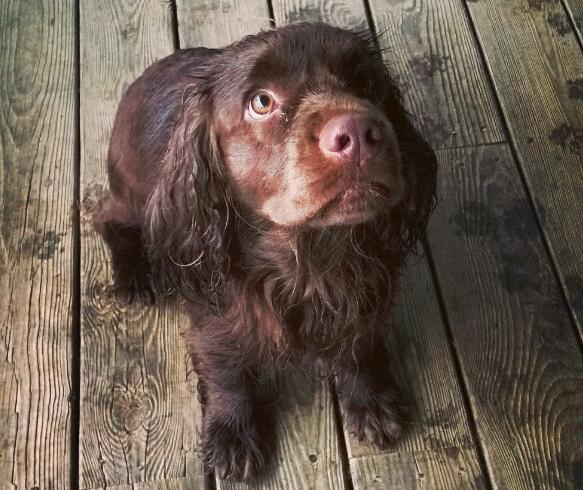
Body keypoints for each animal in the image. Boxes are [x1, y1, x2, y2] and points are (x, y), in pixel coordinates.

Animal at [93, 22, 437, 480]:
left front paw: (370, 399)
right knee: (103, 215)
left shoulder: (363, 297)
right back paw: (133, 273)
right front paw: (233, 435)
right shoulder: (214, 319)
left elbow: (358, 343)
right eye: (261, 102)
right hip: (134, 199)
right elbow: (227, 372)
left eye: (364, 81)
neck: (308, 256)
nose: (359, 134)